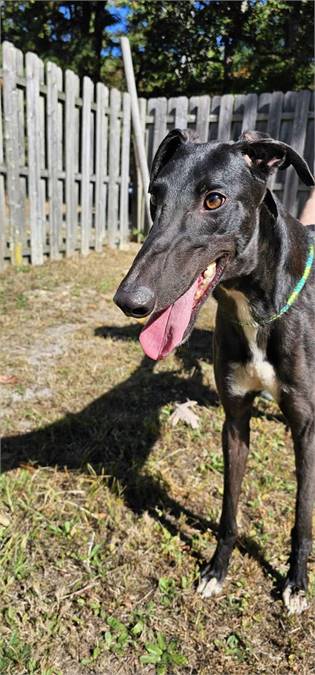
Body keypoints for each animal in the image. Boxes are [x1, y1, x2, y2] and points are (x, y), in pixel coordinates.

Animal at [115, 129, 314, 616]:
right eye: (155, 196)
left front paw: (296, 582)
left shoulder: (305, 427)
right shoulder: (235, 420)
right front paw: (216, 569)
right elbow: (228, 509)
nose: (129, 301)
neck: (258, 309)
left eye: (214, 200)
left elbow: (302, 515)